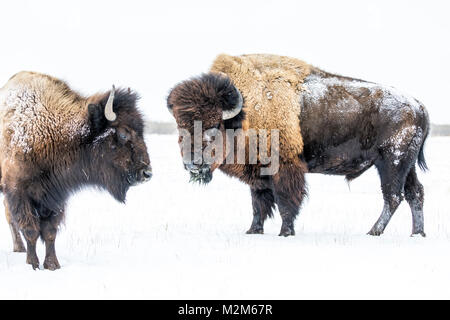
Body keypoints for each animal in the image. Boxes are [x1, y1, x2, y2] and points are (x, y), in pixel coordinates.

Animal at [0, 71, 153, 268]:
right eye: (123, 133)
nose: (147, 173)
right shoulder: (19, 193)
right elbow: (31, 230)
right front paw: (33, 264)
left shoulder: (56, 197)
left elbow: (50, 232)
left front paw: (52, 265)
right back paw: (20, 248)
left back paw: (19, 248)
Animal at [166, 53, 428, 238]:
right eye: (180, 126)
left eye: (214, 125)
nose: (193, 164)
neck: (247, 112)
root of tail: (418, 106)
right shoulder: (257, 174)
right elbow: (258, 204)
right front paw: (253, 231)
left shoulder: (285, 168)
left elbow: (285, 201)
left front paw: (285, 232)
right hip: (407, 166)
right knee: (414, 193)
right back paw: (417, 233)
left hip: (391, 163)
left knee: (393, 196)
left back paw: (373, 231)